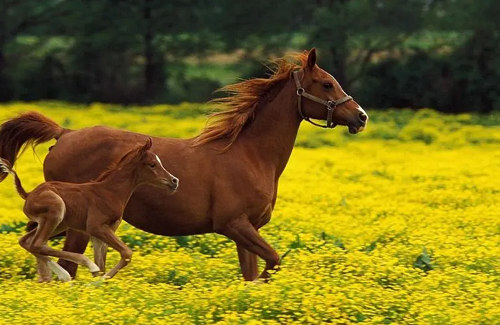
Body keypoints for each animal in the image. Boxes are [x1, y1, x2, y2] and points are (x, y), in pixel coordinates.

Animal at [0, 138, 179, 280]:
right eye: (152, 164)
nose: (174, 181)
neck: (110, 192)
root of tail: (28, 194)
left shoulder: (103, 232)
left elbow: (103, 262)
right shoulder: (95, 227)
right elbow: (126, 254)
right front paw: (98, 280)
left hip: (59, 223)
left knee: (27, 242)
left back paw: (58, 275)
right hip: (56, 211)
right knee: (37, 244)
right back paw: (75, 270)